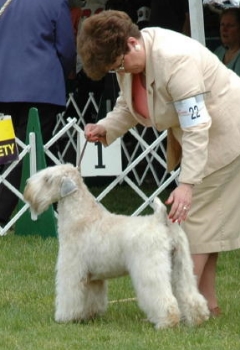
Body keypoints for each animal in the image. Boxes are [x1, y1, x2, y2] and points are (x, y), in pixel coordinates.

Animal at [23, 163, 209, 328]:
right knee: (190, 294)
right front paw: (91, 315)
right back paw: (197, 318)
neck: (81, 216)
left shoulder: (71, 271)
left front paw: (64, 317)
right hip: (182, 267)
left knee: (164, 297)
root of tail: (160, 220)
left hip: (150, 269)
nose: (27, 188)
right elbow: (93, 298)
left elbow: (69, 296)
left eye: (47, 179)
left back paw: (166, 322)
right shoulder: (93, 277)